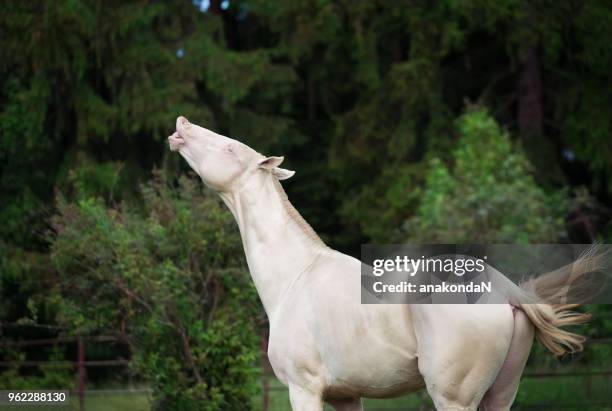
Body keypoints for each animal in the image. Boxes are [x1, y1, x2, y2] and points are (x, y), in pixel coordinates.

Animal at [167, 116, 592, 411]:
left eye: (229, 149)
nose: (181, 126)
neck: (295, 278)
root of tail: (506, 290)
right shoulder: (346, 396)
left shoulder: (304, 389)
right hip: (500, 395)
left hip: (453, 398)